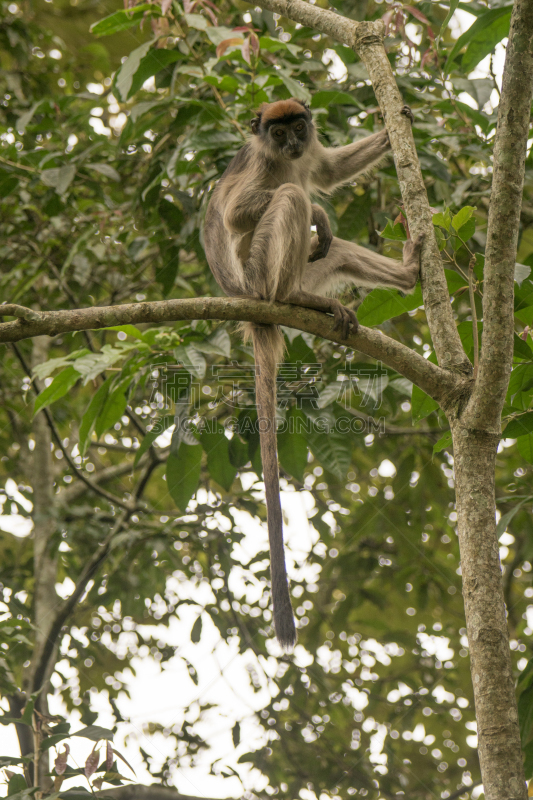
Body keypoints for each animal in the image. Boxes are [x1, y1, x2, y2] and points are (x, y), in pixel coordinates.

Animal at [202, 98, 422, 648]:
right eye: (276, 132)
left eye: (298, 126)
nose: (292, 142)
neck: (282, 157)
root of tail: (252, 309)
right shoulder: (261, 164)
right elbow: (244, 209)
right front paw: (317, 209)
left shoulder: (310, 157)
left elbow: (327, 172)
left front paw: (396, 121)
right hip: (261, 274)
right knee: (290, 201)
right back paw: (295, 296)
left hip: (311, 264)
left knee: (334, 246)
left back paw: (407, 274)